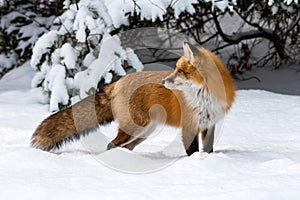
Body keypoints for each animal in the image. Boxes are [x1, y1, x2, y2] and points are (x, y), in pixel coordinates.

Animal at [31, 41, 236, 155]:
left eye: (180, 71)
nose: (164, 81)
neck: (204, 97)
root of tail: (118, 82)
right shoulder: (189, 125)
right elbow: (191, 151)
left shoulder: (209, 124)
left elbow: (207, 150)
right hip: (134, 128)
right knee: (111, 145)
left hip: (144, 131)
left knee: (125, 147)